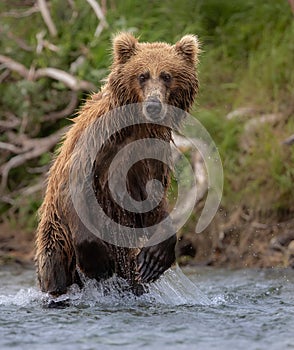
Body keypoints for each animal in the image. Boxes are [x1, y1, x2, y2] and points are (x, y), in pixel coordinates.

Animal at [35, 32, 200, 296]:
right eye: (142, 75)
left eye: (166, 75)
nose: (153, 105)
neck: (136, 126)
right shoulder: (97, 142)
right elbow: (76, 186)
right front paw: (97, 261)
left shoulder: (149, 154)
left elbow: (152, 197)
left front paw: (156, 256)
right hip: (56, 236)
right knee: (56, 270)